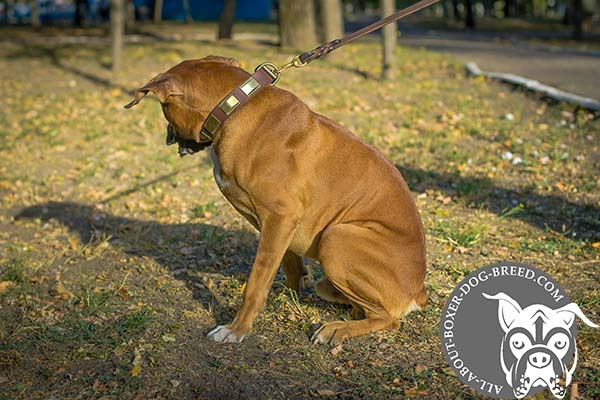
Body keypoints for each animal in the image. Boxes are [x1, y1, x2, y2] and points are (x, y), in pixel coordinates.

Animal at [126, 54, 426, 346]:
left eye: (165, 110)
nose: (168, 137)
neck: (235, 109)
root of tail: (418, 290)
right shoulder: (280, 225)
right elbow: (288, 263)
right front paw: (291, 292)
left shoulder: (281, 217)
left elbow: (256, 282)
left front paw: (236, 329)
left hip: (337, 236)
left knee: (387, 318)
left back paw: (337, 329)